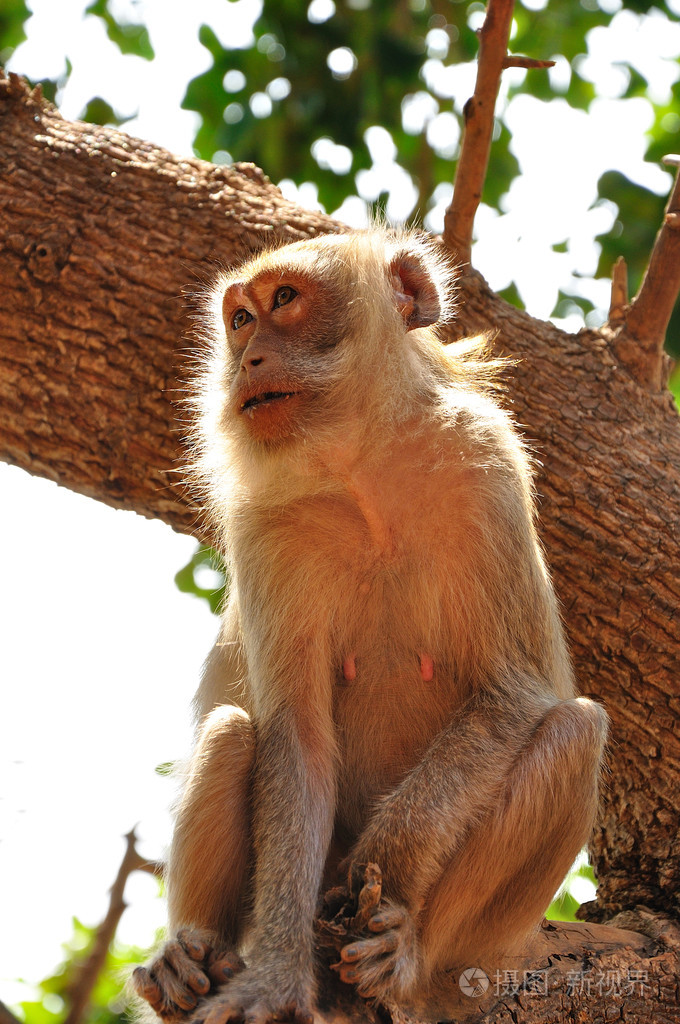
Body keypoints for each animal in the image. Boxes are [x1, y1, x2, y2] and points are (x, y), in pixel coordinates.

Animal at [131, 228, 606, 1024]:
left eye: (284, 300)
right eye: (239, 319)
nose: (247, 358)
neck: (363, 472)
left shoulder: (484, 461)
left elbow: (511, 691)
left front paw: (379, 869)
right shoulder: (264, 524)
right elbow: (296, 741)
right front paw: (277, 975)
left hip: (485, 946)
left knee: (575, 730)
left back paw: (407, 958)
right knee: (232, 731)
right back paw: (192, 959)